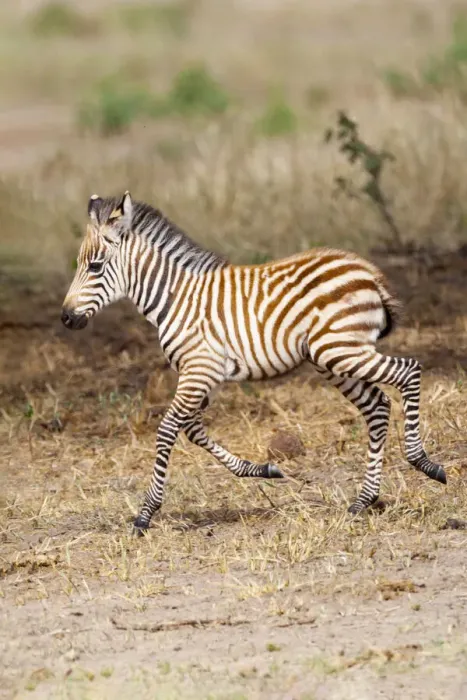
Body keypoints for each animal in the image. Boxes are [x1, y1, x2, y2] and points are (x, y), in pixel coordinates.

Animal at [62, 191, 446, 533]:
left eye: (95, 267)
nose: (65, 318)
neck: (175, 298)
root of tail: (367, 270)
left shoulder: (199, 370)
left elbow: (169, 428)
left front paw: (146, 514)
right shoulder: (201, 374)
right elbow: (193, 430)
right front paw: (262, 470)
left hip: (339, 350)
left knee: (409, 371)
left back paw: (424, 463)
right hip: (334, 357)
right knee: (377, 406)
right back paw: (363, 500)